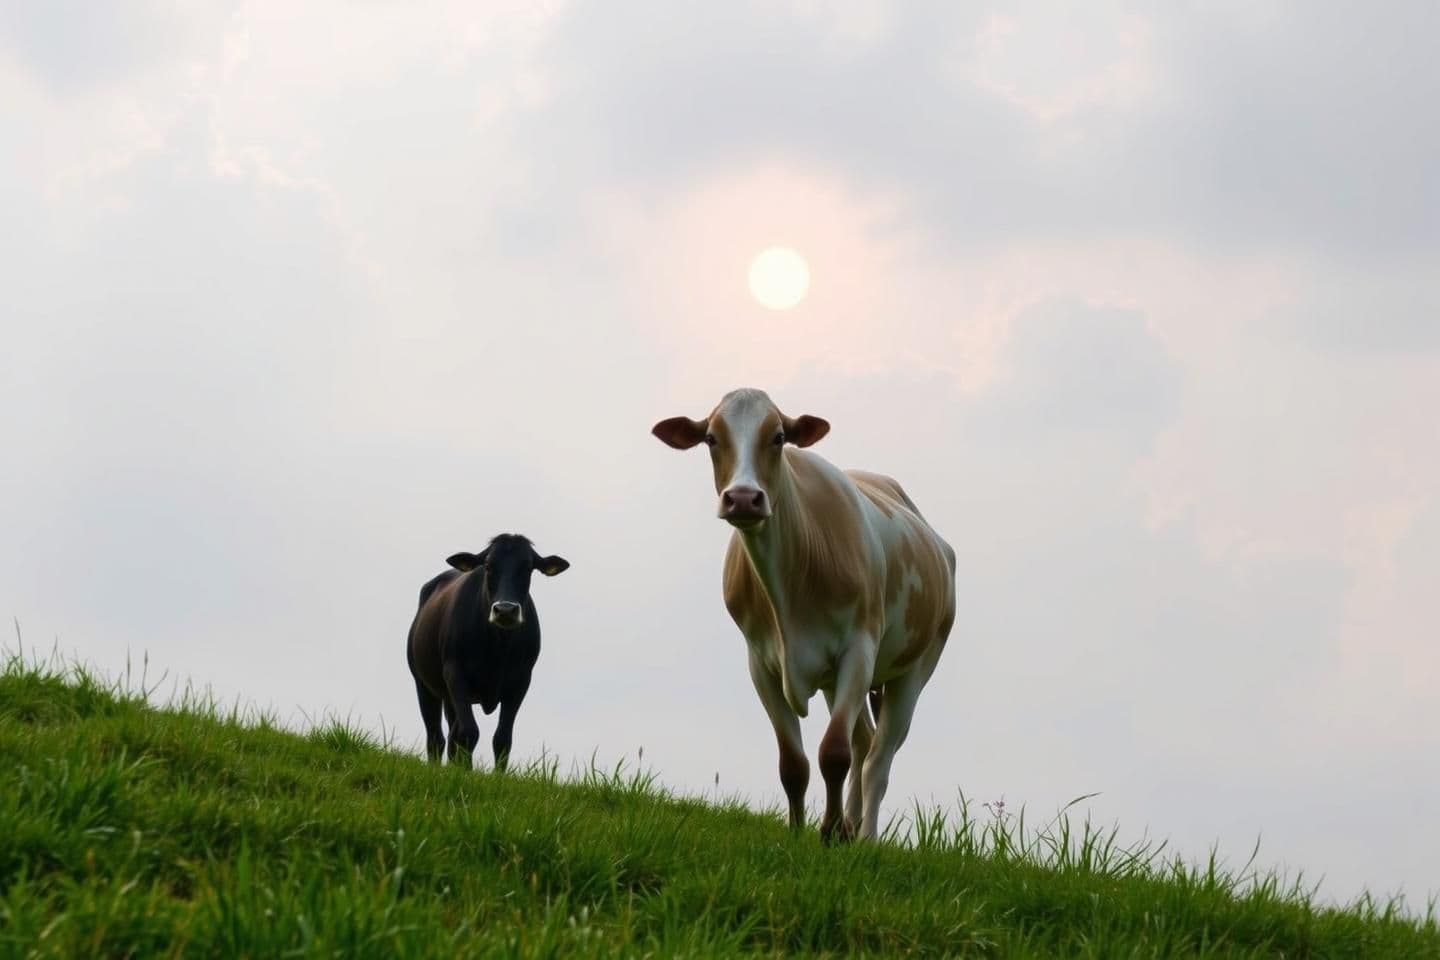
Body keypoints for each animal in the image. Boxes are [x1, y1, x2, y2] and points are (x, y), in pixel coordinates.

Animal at [406, 533, 569, 770]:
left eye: (528, 567)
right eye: (489, 566)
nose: (506, 610)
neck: (497, 648)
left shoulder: (521, 682)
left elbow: (502, 738)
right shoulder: (455, 673)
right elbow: (469, 732)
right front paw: (466, 772)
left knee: (452, 734)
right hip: (423, 683)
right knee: (437, 736)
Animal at [653, 388, 956, 842]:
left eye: (779, 437)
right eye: (710, 438)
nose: (744, 498)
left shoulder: (858, 650)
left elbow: (834, 753)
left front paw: (829, 831)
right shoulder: (761, 663)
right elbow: (793, 764)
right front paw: (799, 834)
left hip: (916, 668)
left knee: (877, 758)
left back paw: (864, 836)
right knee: (864, 740)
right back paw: (851, 825)